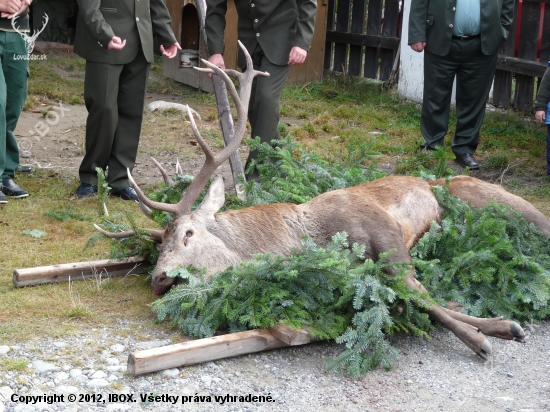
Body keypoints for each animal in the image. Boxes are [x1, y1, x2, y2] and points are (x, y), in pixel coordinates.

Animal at [96, 40, 550, 358]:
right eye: (159, 243)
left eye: (188, 233)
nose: (159, 279)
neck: (308, 237)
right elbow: (423, 298)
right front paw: (498, 326)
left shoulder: (385, 234)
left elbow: (421, 296)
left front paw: (484, 337)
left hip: (492, 199)